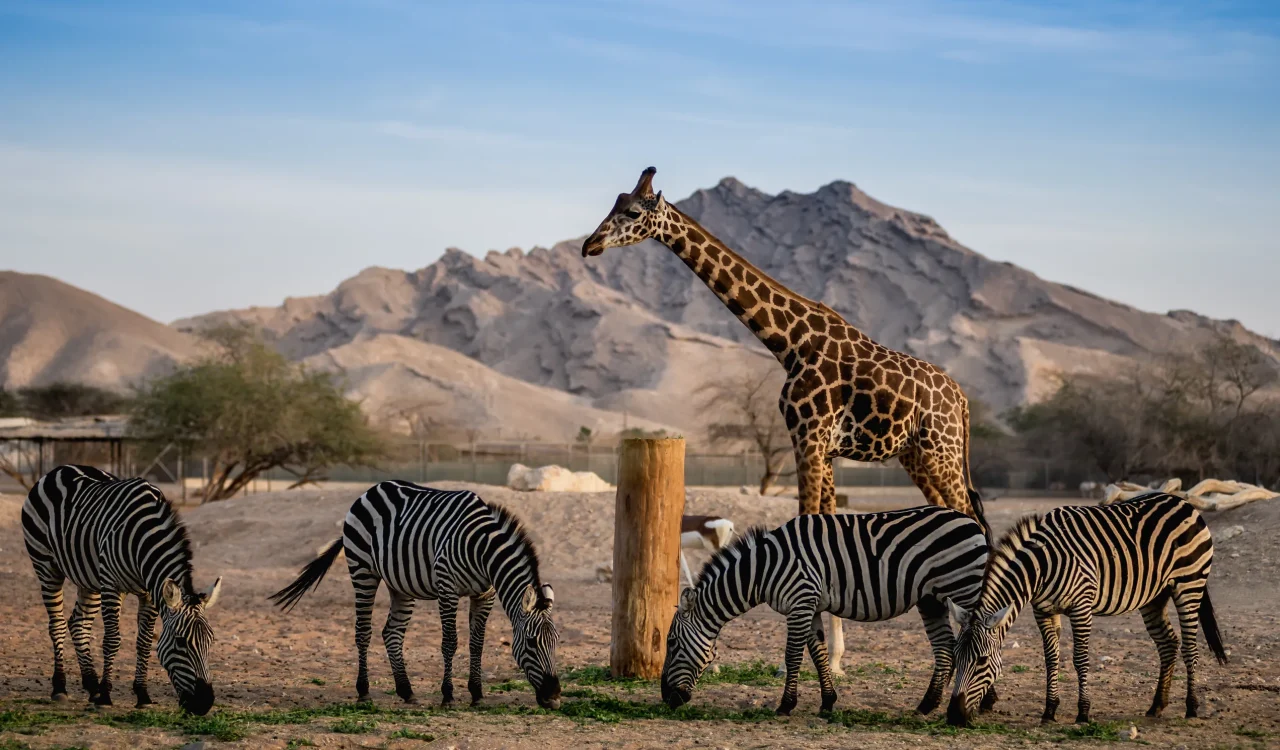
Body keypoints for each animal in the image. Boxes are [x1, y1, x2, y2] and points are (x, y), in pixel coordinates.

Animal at [23, 460, 224, 711]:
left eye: (211, 641)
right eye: (180, 642)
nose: (204, 703)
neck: (143, 539)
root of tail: (61, 468)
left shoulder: (149, 593)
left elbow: (145, 642)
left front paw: (142, 695)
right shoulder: (112, 585)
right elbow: (112, 640)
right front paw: (106, 697)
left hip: (89, 579)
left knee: (78, 623)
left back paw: (92, 686)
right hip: (46, 566)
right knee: (57, 624)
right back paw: (60, 687)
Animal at [268, 478, 560, 706]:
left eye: (556, 642)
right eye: (531, 642)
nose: (555, 697)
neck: (482, 550)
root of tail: (372, 489)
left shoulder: (484, 595)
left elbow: (477, 643)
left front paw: (477, 694)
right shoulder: (447, 588)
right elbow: (450, 642)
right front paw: (448, 695)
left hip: (401, 585)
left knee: (392, 633)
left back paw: (406, 691)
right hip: (362, 569)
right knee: (363, 631)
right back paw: (364, 692)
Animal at [581, 167, 988, 532]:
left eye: (633, 212)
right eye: (616, 204)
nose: (590, 245)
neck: (791, 345)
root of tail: (962, 400)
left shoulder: (809, 436)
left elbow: (808, 517)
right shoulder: (822, 447)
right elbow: (824, 518)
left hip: (941, 450)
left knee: (971, 515)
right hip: (914, 454)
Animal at [660, 504, 988, 716]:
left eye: (672, 643)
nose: (665, 698)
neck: (764, 570)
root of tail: (970, 520)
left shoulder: (800, 601)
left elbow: (793, 656)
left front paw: (785, 706)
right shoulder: (811, 606)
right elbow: (817, 655)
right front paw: (828, 702)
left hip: (965, 587)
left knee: (982, 638)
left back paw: (983, 701)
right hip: (931, 598)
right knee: (946, 648)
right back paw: (927, 705)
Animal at [952, 491, 1228, 721]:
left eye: (982, 661)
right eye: (955, 658)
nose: (954, 715)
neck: (1042, 565)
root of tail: (1183, 502)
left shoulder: (1081, 608)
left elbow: (1080, 659)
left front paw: (1083, 712)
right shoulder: (1043, 610)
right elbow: (1051, 658)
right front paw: (1049, 710)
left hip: (1189, 584)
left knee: (1190, 647)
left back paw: (1192, 707)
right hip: (1155, 596)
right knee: (1168, 643)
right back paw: (1156, 706)